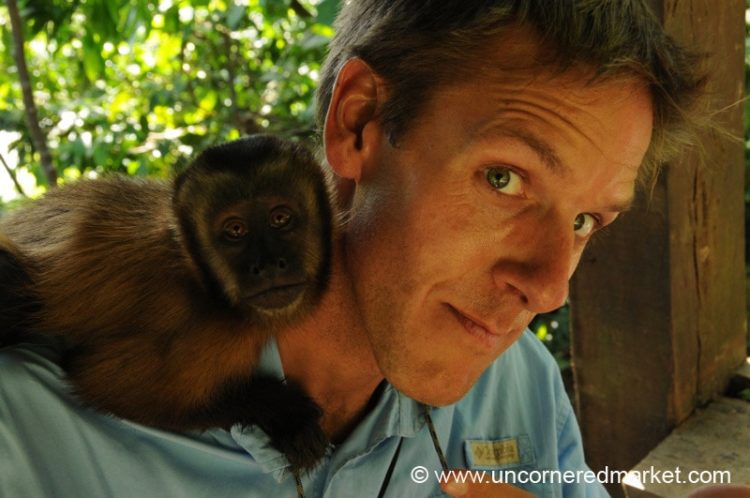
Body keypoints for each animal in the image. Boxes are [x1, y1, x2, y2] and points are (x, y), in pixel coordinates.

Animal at [0, 134, 333, 473]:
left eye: (280, 218)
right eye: (235, 230)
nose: (265, 265)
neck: (195, 273)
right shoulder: (210, 330)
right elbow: (110, 387)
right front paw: (282, 412)